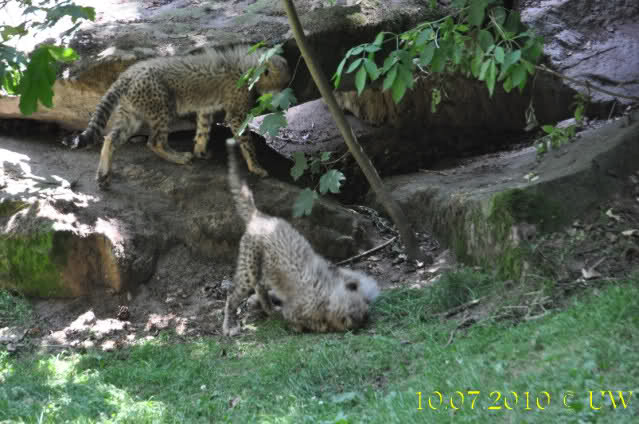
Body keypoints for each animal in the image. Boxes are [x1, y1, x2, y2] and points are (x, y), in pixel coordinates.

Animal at [71, 44, 290, 187]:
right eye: (281, 85)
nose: (283, 99)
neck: (248, 67)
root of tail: (127, 73)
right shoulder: (237, 114)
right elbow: (247, 142)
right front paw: (256, 167)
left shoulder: (206, 107)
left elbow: (203, 130)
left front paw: (200, 151)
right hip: (162, 107)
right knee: (154, 142)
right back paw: (178, 157)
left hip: (132, 114)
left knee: (110, 138)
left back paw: (103, 174)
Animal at [223, 137, 380, 336]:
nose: (367, 317)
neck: (329, 292)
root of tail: (259, 215)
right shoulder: (296, 311)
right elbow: (297, 323)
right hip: (248, 268)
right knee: (233, 296)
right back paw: (230, 325)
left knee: (260, 286)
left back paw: (268, 307)